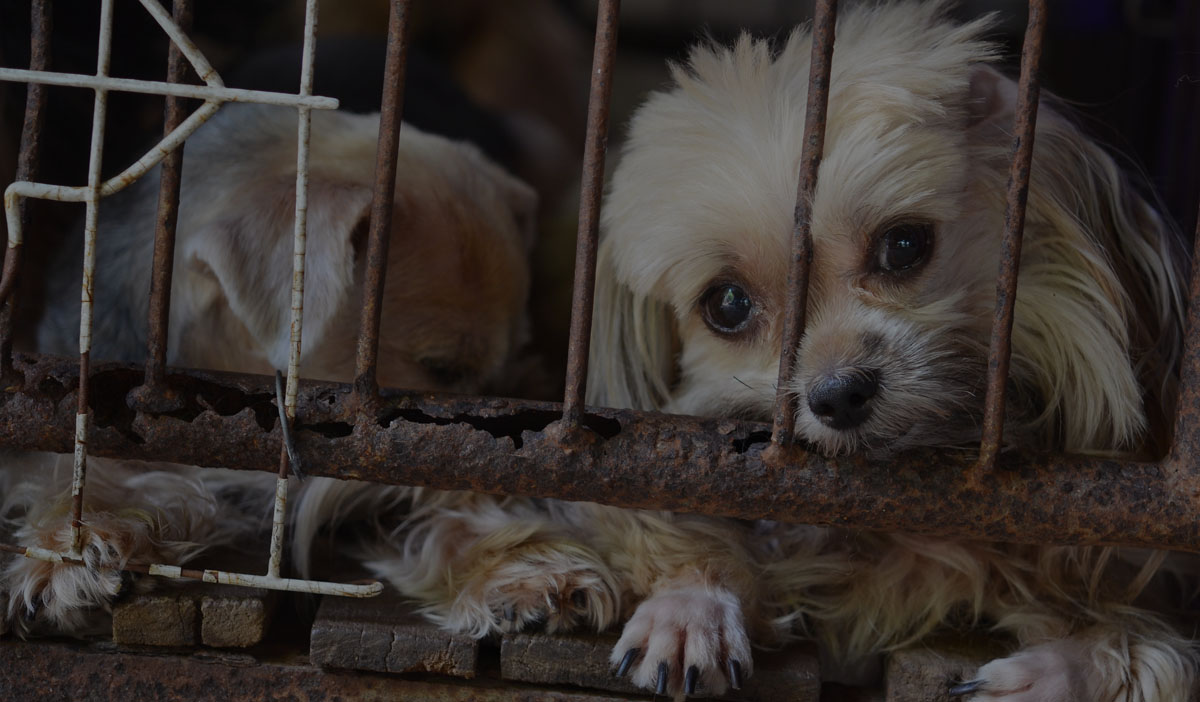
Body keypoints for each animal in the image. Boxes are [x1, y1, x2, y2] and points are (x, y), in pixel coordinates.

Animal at [585, 1, 1195, 700]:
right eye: (728, 304)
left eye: (903, 245)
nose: (838, 396)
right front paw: (690, 608)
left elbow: (1144, 646)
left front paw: (1053, 671)